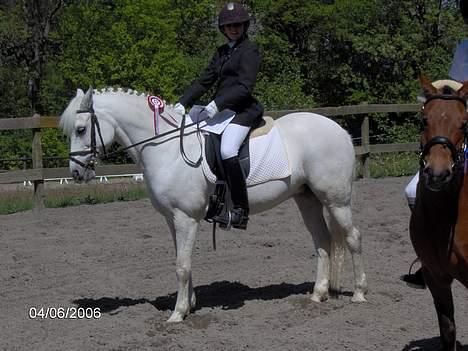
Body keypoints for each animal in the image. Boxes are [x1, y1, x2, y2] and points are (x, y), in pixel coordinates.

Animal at [60, 87, 368, 322]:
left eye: (81, 129)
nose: (76, 173)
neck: (167, 149)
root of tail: (340, 130)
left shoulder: (185, 218)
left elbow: (182, 265)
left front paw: (177, 314)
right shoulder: (173, 219)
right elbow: (183, 261)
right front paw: (189, 305)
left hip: (336, 200)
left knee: (352, 237)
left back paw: (359, 293)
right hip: (307, 199)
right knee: (323, 241)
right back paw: (318, 294)